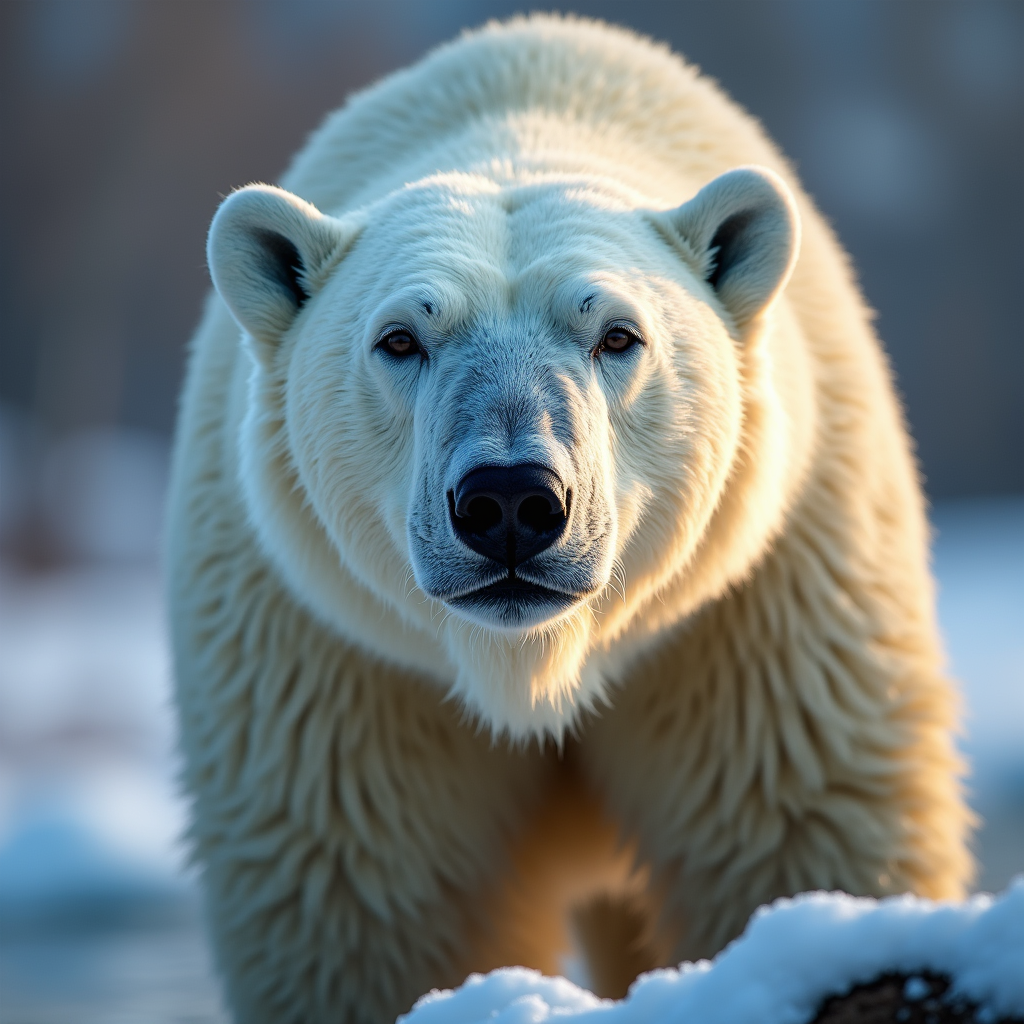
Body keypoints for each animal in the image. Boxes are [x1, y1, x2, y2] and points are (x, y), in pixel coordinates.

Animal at [166, 14, 973, 1024]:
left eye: (617, 334)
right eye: (401, 338)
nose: (511, 501)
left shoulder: (758, 626)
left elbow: (790, 829)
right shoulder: (337, 670)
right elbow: (366, 904)